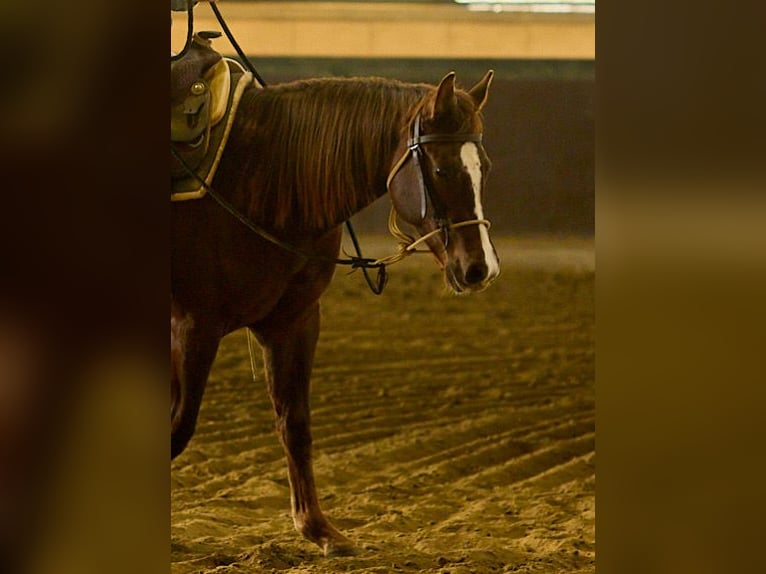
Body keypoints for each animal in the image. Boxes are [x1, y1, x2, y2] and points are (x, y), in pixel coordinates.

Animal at [171, 69, 501, 556]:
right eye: (441, 169)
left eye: (485, 169)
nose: (481, 269)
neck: (259, 174)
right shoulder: (193, 325)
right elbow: (180, 424)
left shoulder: (295, 322)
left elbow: (295, 421)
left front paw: (319, 528)